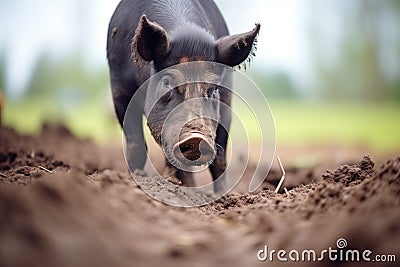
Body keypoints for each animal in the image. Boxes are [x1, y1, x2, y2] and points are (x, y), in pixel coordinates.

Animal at [106, 0, 260, 193]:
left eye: (215, 88)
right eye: (166, 82)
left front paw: (223, 194)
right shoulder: (119, 91)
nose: (196, 137)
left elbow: (220, 157)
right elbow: (136, 144)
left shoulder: (226, 101)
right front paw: (137, 179)